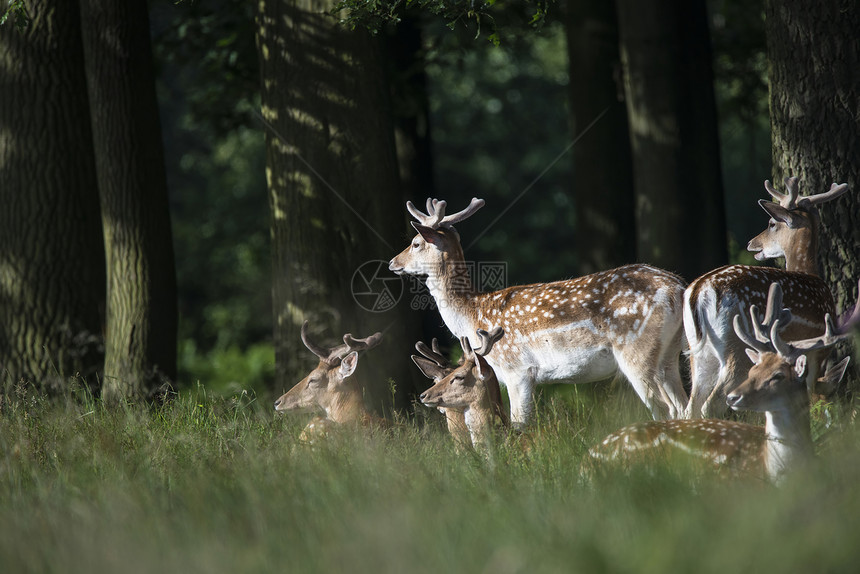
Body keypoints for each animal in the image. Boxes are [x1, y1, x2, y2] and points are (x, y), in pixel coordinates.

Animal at [392, 198, 692, 428]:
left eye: (416, 243)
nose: (393, 262)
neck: (473, 314)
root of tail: (678, 287)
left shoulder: (517, 368)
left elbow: (520, 423)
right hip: (668, 355)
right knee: (684, 406)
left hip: (637, 351)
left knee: (666, 409)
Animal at [680, 177, 848, 418]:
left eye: (771, 224)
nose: (752, 243)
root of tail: (698, 291)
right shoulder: (817, 350)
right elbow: (807, 392)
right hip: (735, 346)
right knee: (712, 403)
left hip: (698, 354)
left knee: (689, 407)